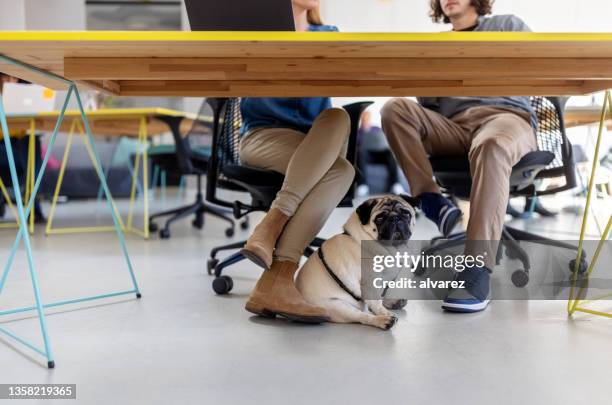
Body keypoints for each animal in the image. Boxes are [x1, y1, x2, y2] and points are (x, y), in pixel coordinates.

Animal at [296, 194, 420, 330]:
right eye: (380, 218)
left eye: (406, 213)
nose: (395, 218)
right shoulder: (370, 283)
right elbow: (376, 303)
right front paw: (384, 313)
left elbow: (382, 294)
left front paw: (389, 302)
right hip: (338, 307)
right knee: (362, 316)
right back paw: (383, 320)